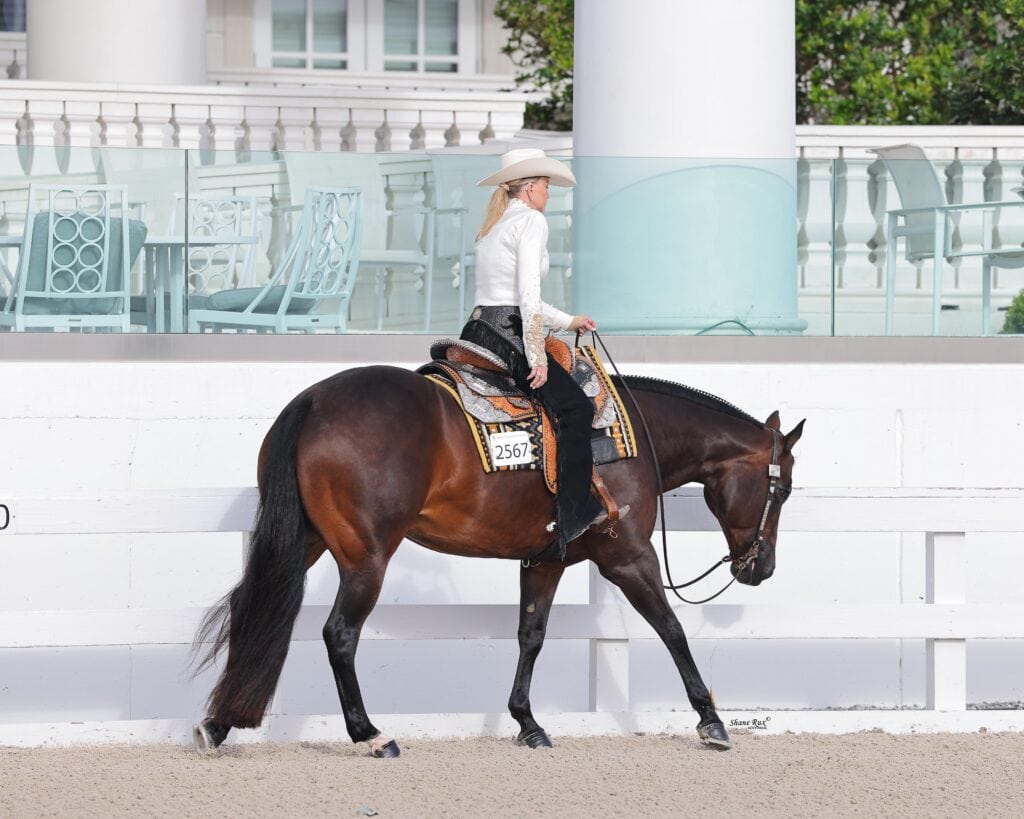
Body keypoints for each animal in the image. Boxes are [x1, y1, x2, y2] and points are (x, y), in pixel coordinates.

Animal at [192, 363, 804, 757]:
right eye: (782, 489)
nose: (762, 567)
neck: (630, 438)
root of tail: (315, 400)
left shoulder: (545, 560)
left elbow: (530, 635)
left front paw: (528, 722)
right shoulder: (628, 556)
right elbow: (671, 628)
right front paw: (711, 720)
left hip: (308, 541)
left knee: (253, 612)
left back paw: (217, 725)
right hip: (366, 557)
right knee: (339, 634)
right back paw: (370, 734)